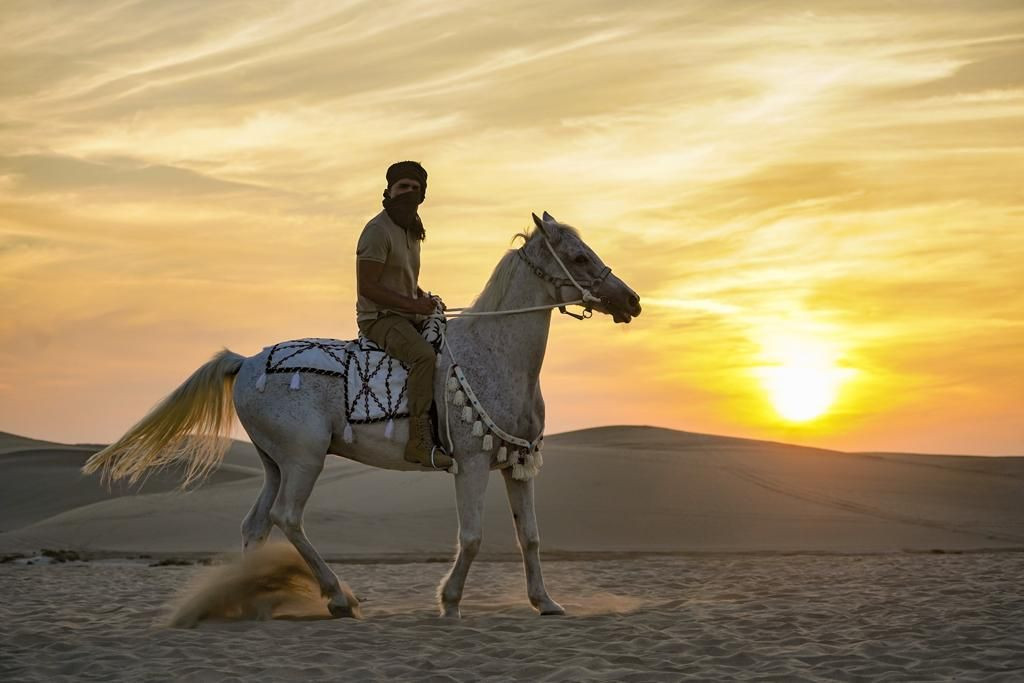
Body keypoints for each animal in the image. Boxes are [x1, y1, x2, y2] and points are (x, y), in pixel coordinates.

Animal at [83, 214, 638, 618]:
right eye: (578, 256)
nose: (630, 300)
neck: (494, 355)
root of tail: (245, 362)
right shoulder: (473, 464)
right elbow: (474, 537)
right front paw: (450, 603)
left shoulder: (516, 466)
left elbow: (531, 537)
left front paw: (546, 602)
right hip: (303, 460)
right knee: (287, 518)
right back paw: (336, 598)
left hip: (273, 463)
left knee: (256, 523)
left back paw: (249, 599)